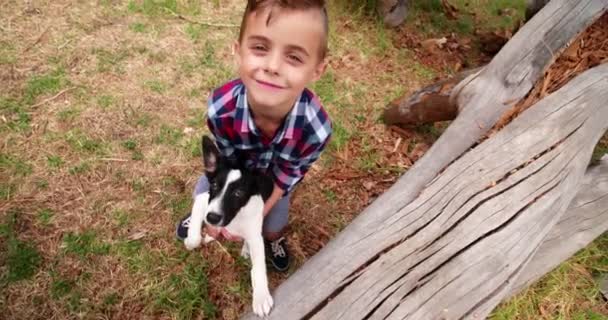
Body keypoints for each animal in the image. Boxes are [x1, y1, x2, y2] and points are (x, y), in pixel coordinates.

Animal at [183, 135, 274, 318]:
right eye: (214, 185)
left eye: (238, 193)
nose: (212, 218)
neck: (234, 218)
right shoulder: (203, 201)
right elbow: (195, 235)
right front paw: (191, 240)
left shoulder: (255, 234)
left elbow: (258, 268)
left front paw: (261, 296)